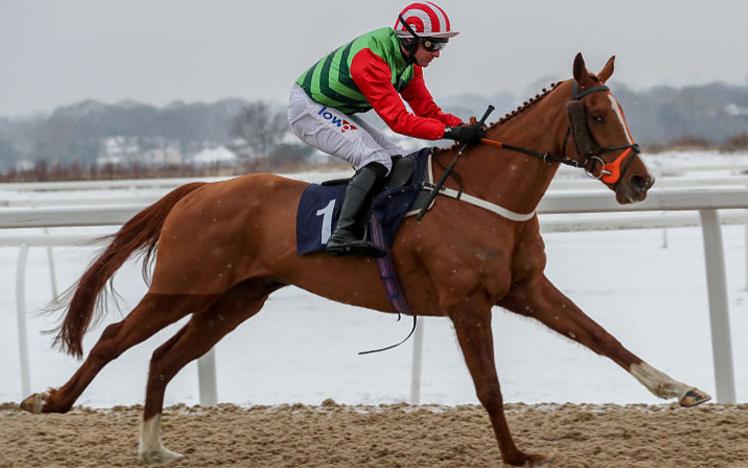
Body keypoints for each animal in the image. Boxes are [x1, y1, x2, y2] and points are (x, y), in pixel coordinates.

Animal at [17, 53, 708, 466]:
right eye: (596, 113)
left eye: (621, 110)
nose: (640, 181)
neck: (483, 195)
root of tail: (201, 189)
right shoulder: (467, 303)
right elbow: (488, 385)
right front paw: (517, 456)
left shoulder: (526, 288)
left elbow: (603, 337)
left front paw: (679, 388)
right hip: (181, 288)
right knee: (113, 338)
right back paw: (51, 402)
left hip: (235, 301)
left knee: (163, 356)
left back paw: (155, 448)